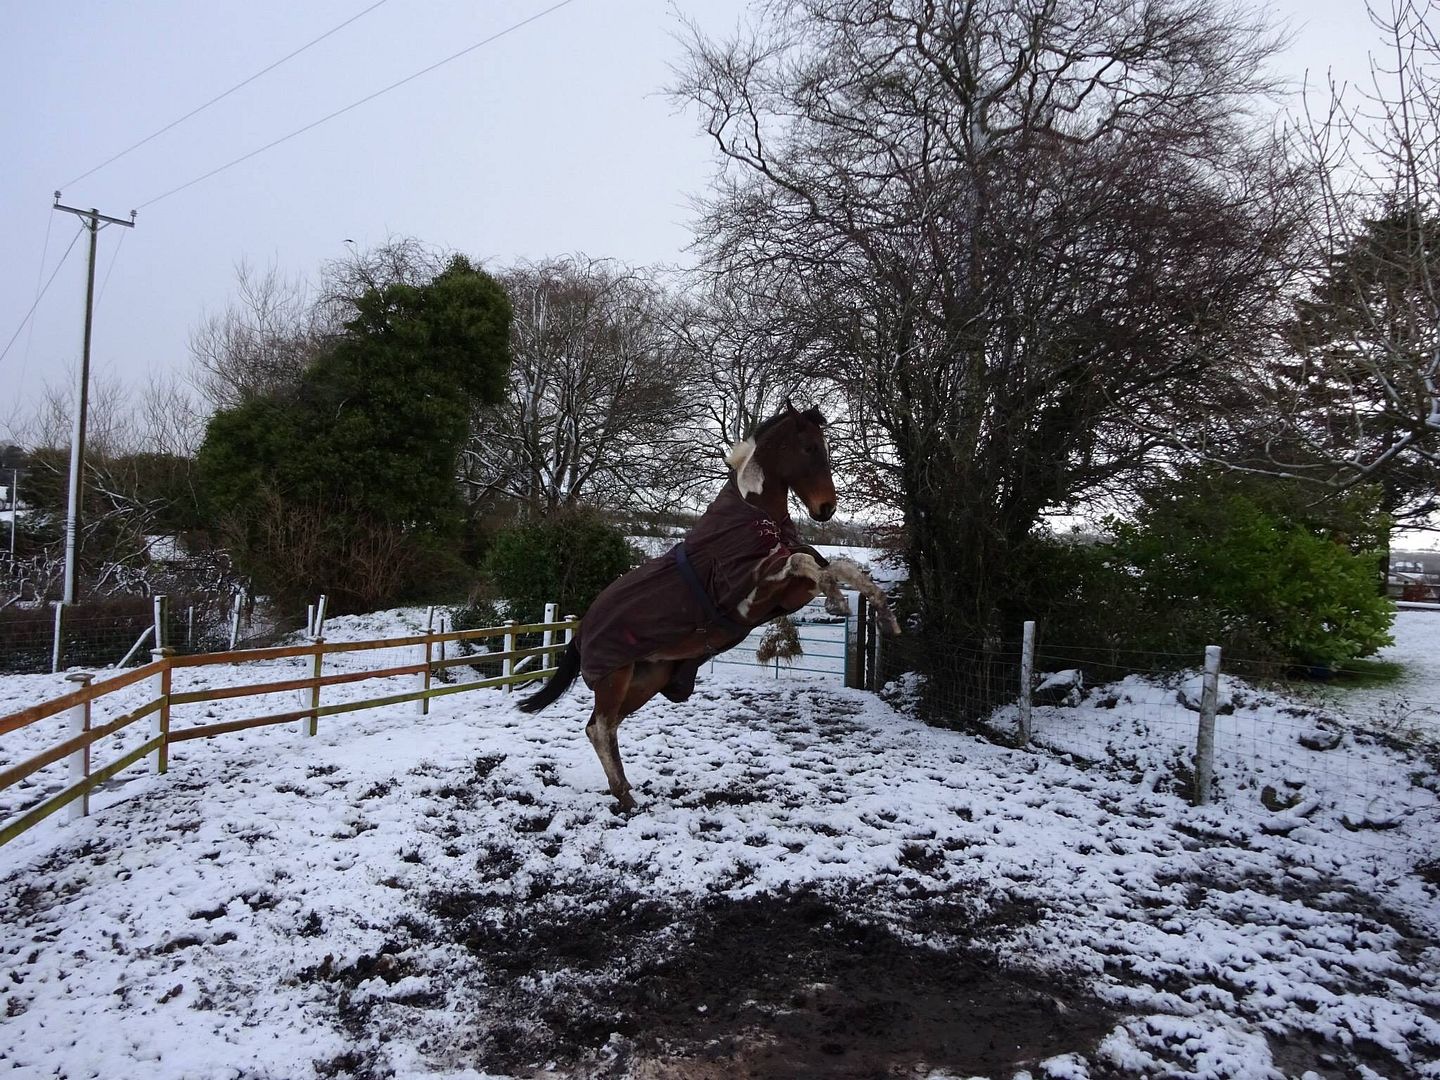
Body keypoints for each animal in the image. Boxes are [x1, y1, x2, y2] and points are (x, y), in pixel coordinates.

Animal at [518, 402, 898, 811]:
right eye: (810, 448)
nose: (826, 508)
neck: (752, 517)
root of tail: (581, 629)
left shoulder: (788, 590)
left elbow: (836, 566)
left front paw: (883, 612)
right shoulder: (755, 589)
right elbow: (809, 563)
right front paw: (838, 600)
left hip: (647, 679)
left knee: (606, 725)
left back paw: (625, 791)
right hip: (613, 679)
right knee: (599, 728)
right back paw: (625, 795)